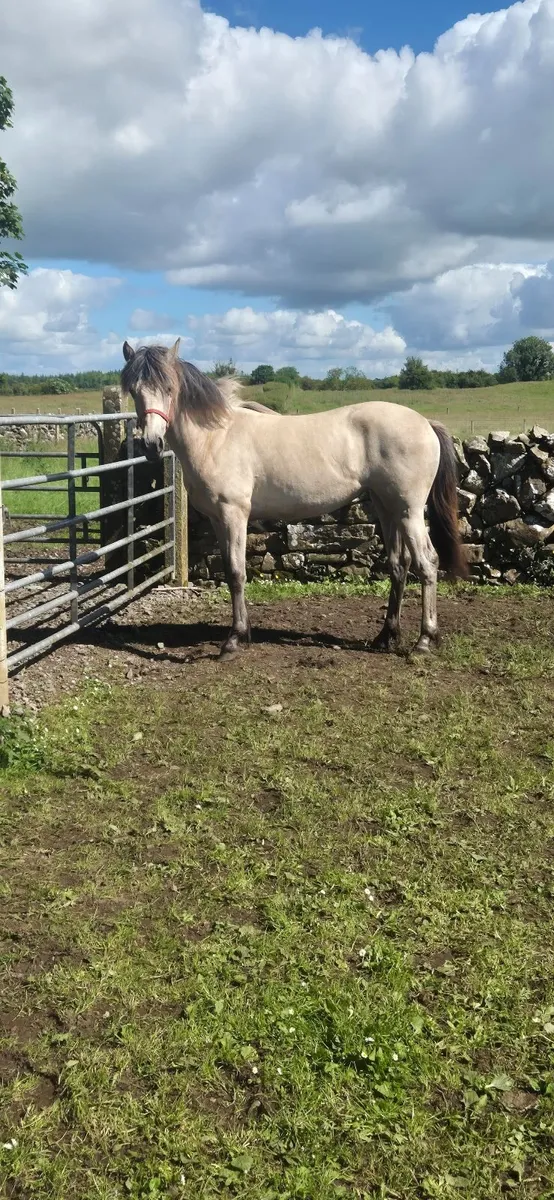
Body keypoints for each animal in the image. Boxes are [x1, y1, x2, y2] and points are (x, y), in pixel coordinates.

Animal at [121, 340, 467, 658]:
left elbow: (236, 573)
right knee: (399, 565)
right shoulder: (218, 519)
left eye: (169, 387)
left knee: (427, 563)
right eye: (134, 390)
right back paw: (386, 636)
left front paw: (233, 640)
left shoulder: (234, 515)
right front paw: (243, 632)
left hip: (409, 510)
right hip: (387, 507)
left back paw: (424, 641)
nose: (150, 444)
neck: (215, 437)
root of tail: (425, 423)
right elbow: (232, 572)